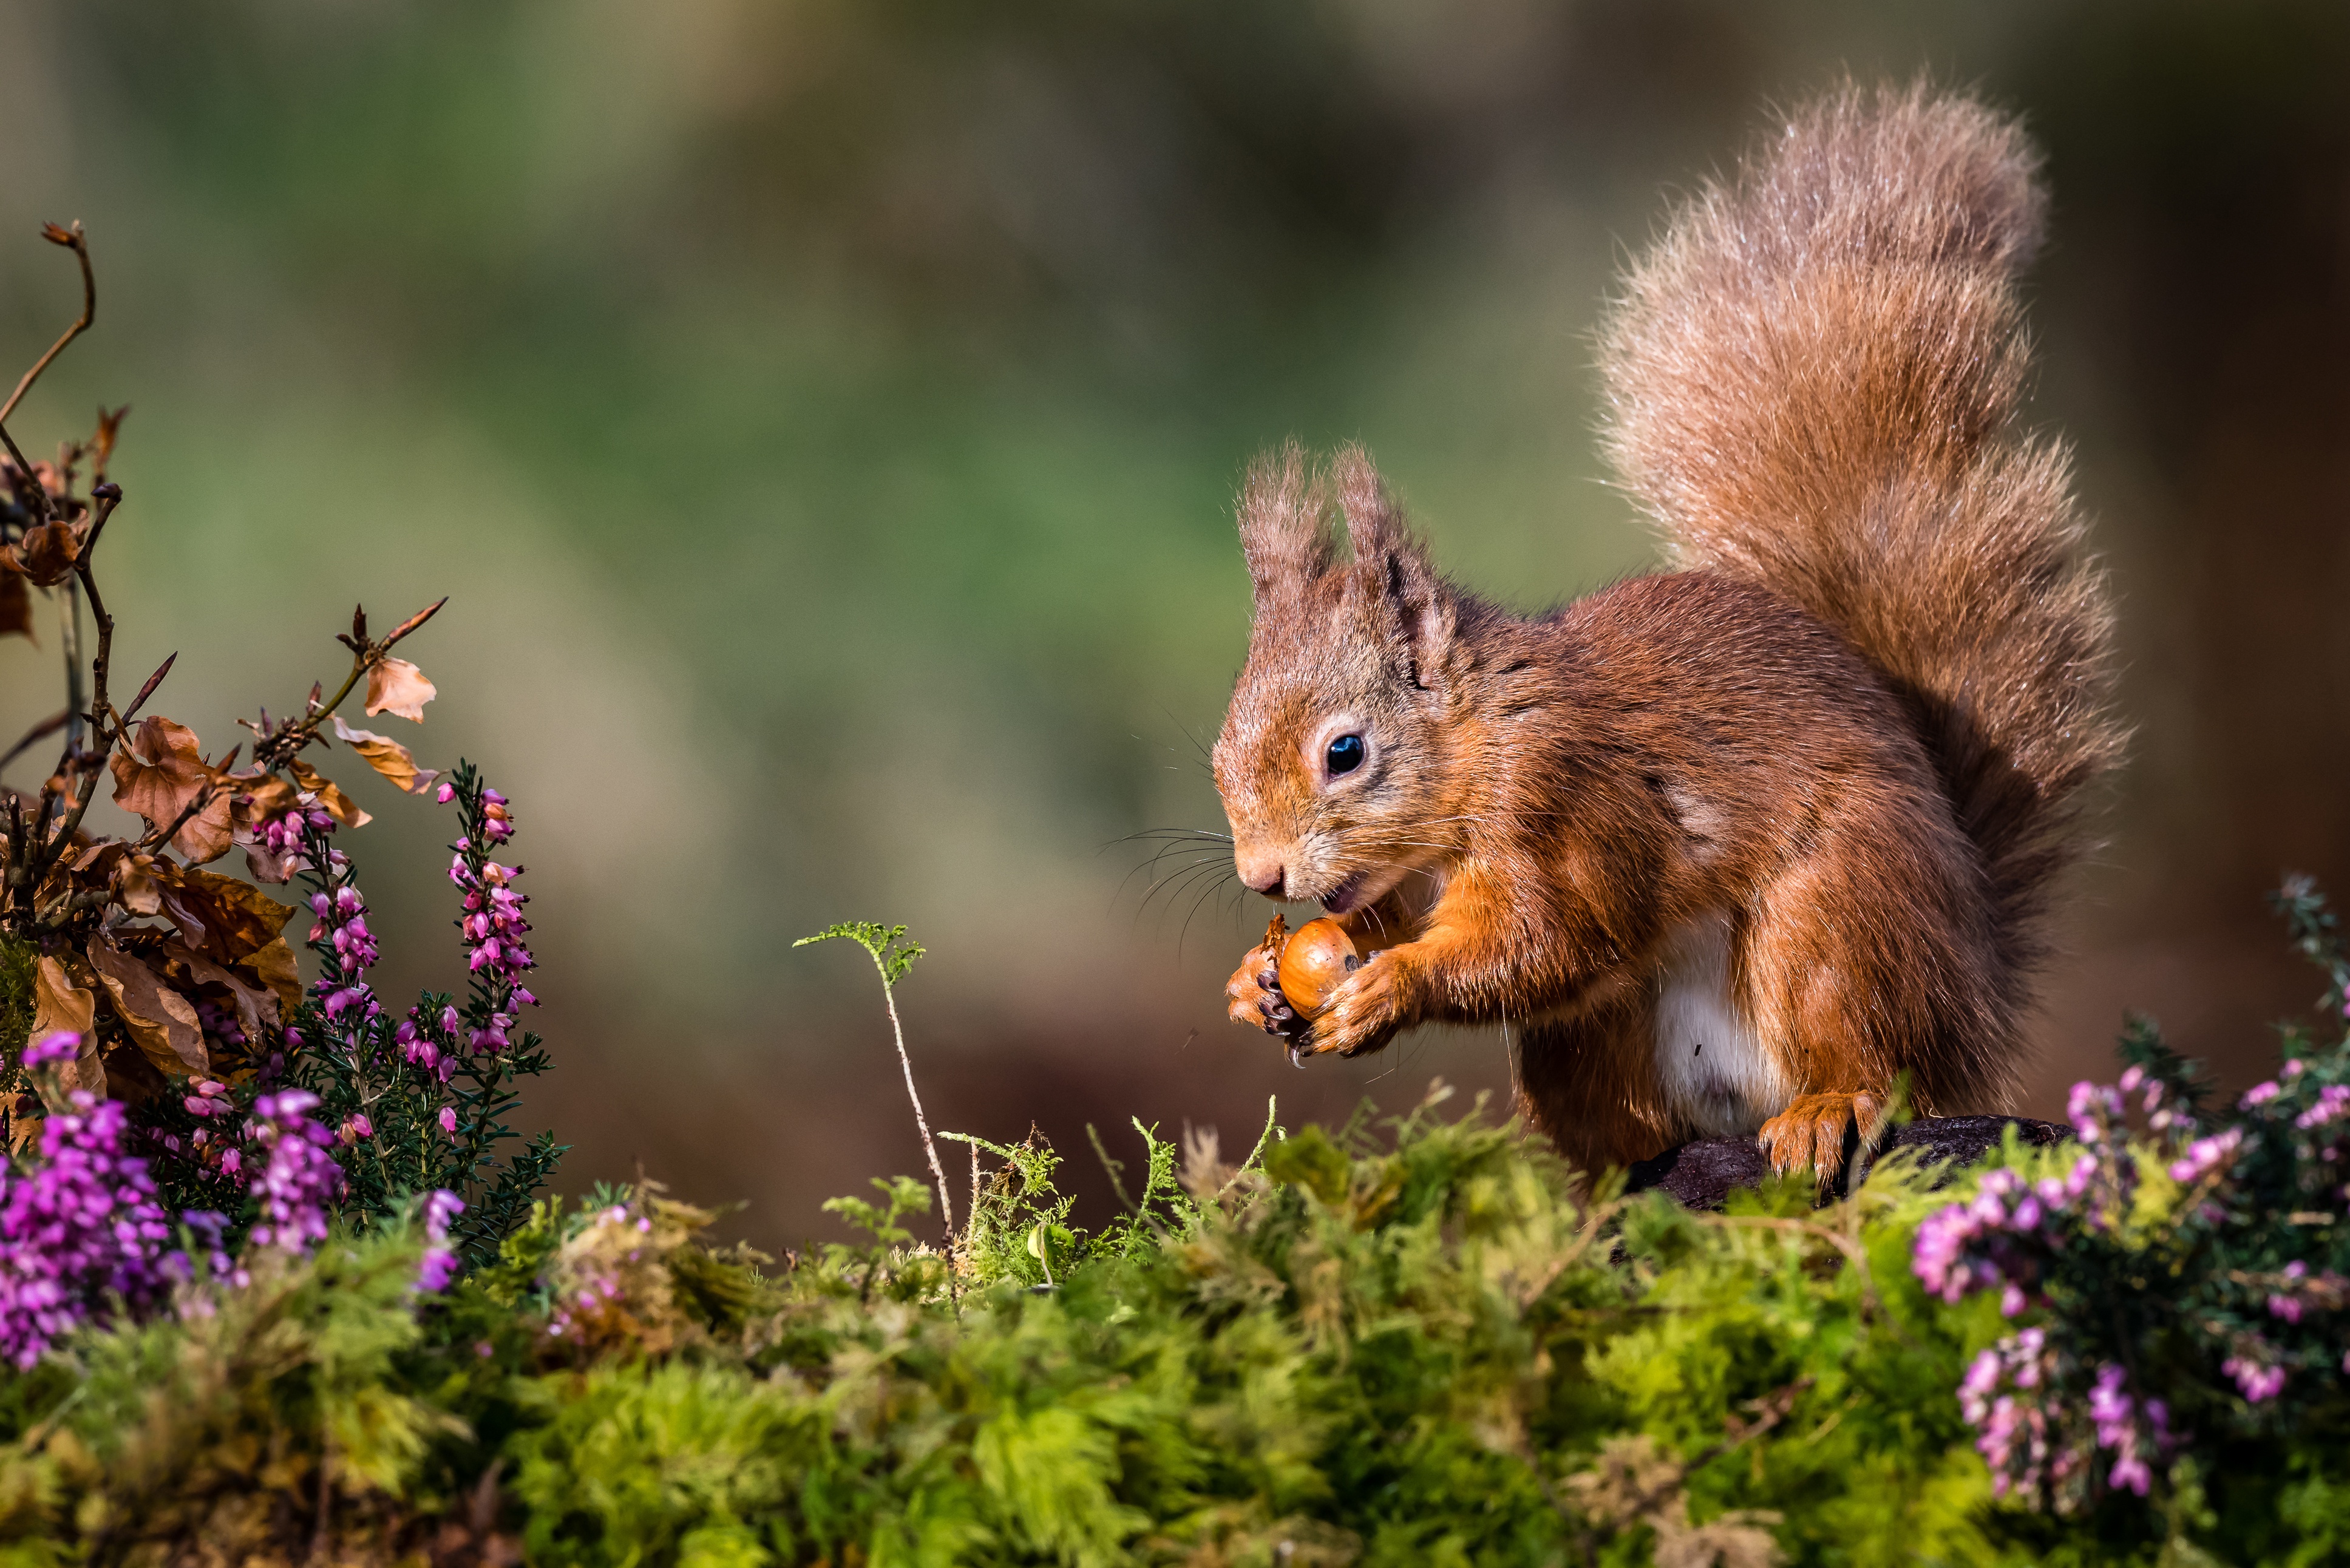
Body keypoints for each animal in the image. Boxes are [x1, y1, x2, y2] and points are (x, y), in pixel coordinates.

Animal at [1211, 82, 2121, 1182]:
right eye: (1217, 753)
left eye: (1344, 752)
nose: (1262, 876)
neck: (1480, 740)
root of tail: (1971, 997)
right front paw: (1253, 983)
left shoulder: (1572, 801)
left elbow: (1548, 936)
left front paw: (1395, 986)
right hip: (1597, 1048)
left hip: (1839, 918)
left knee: (1870, 1054)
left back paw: (1829, 1105)